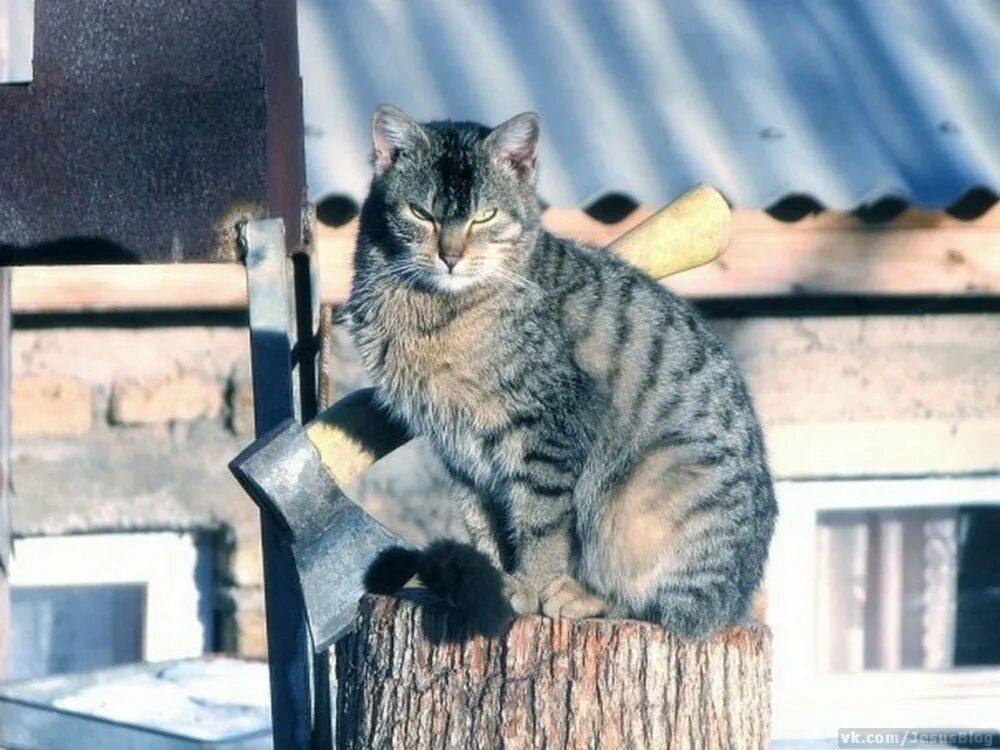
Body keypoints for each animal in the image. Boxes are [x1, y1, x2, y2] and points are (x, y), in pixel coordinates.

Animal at [348, 103, 776, 636]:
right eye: (421, 213)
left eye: (485, 215)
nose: (450, 256)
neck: (433, 311)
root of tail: (740, 598)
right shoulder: (460, 453)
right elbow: (484, 523)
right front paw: (491, 578)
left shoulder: (545, 430)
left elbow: (540, 522)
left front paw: (529, 585)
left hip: (652, 491)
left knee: (669, 606)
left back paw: (584, 594)